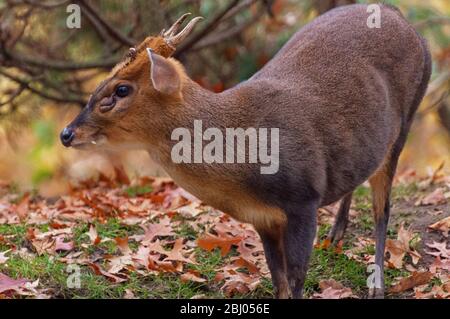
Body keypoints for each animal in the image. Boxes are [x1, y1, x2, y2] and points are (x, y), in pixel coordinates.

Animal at [60, 4, 432, 300]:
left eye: (121, 90)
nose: (66, 133)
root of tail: (403, 19)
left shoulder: (304, 199)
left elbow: (296, 278)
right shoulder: (264, 218)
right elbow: (278, 281)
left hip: (405, 121)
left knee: (383, 209)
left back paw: (377, 285)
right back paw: (336, 236)